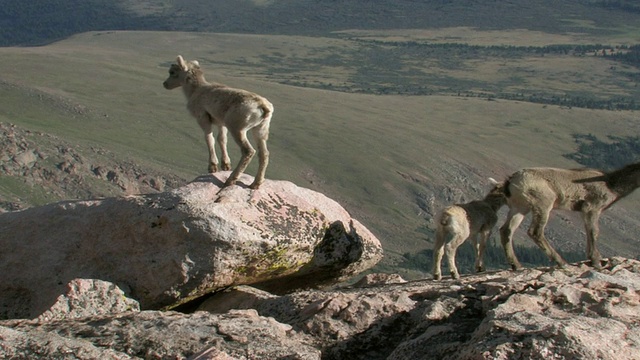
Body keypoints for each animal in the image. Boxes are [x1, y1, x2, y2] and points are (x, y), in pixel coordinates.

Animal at [162, 55, 272, 190]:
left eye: (172, 72)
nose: (165, 84)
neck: (196, 91)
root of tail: (264, 107)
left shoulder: (203, 119)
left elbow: (210, 139)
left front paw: (213, 167)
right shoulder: (221, 123)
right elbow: (222, 140)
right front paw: (226, 165)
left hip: (238, 130)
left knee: (248, 151)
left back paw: (230, 181)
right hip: (260, 131)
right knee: (264, 154)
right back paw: (255, 184)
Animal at [500, 162, 640, 270]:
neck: (610, 185)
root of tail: (510, 182)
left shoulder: (584, 211)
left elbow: (588, 231)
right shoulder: (592, 208)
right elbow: (594, 232)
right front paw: (596, 261)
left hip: (519, 207)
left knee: (506, 230)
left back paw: (516, 265)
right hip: (543, 204)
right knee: (535, 231)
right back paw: (562, 262)